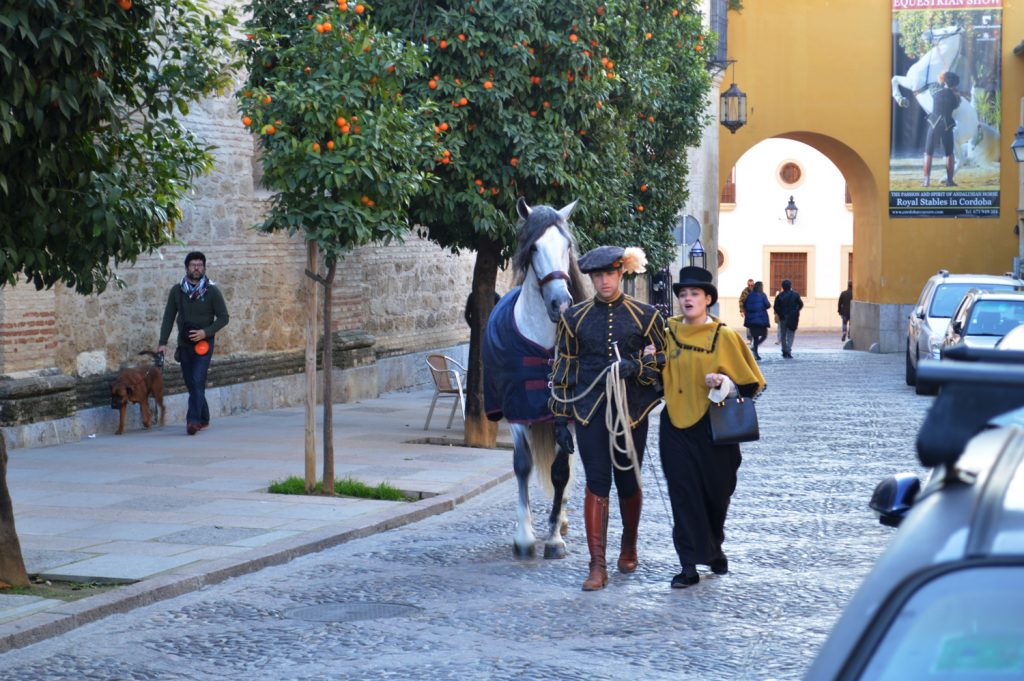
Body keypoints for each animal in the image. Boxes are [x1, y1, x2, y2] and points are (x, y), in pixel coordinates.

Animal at [483, 196, 589, 557]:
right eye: (533, 247)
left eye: (567, 245)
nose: (561, 302)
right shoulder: (517, 409)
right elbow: (522, 465)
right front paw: (524, 537)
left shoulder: (566, 416)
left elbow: (561, 472)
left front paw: (554, 538)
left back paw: (563, 520)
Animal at [888, 27, 999, 168]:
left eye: (946, 30)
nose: (925, 33)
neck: (931, 67)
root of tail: (977, 124)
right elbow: (895, 79)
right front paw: (902, 100)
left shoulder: (911, 83)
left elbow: (894, 79)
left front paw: (902, 101)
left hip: (955, 135)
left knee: (962, 160)